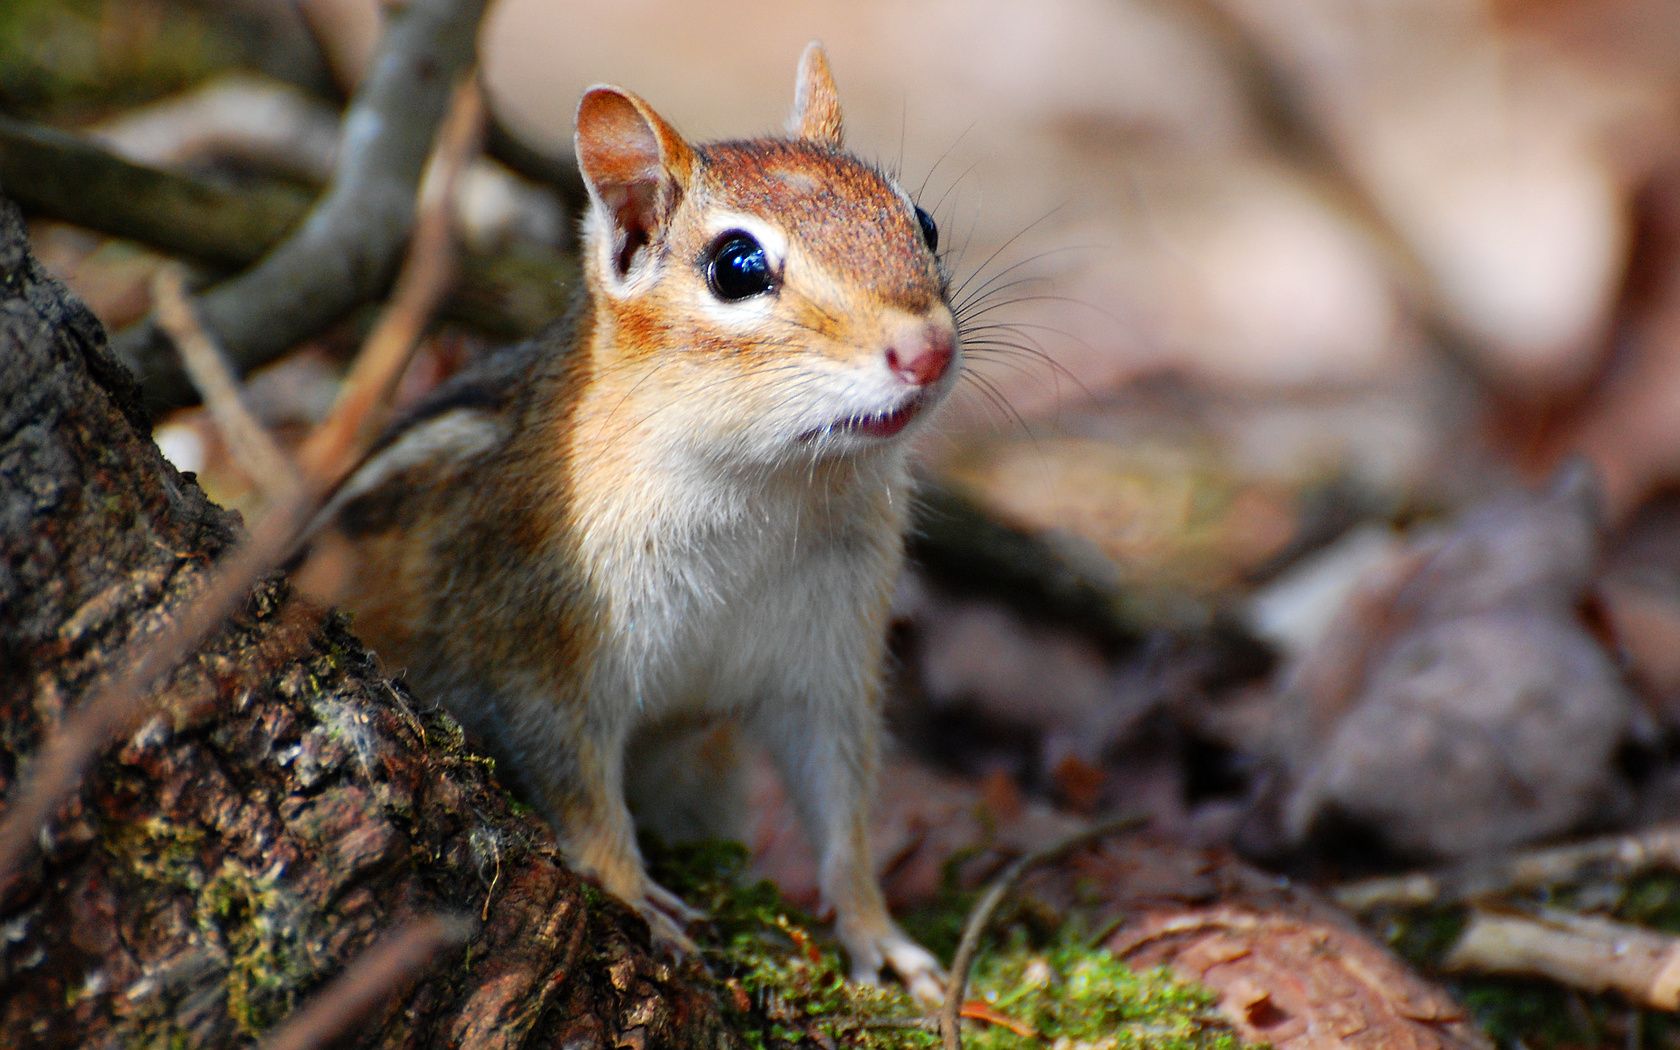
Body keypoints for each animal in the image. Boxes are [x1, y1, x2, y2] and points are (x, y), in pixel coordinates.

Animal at [315, 43, 956, 1000]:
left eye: (925, 222)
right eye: (737, 267)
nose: (929, 351)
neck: (768, 490)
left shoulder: (829, 660)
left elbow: (841, 799)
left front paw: (880, 933)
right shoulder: (542, 640)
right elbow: (575, 781)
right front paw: (632, 892)